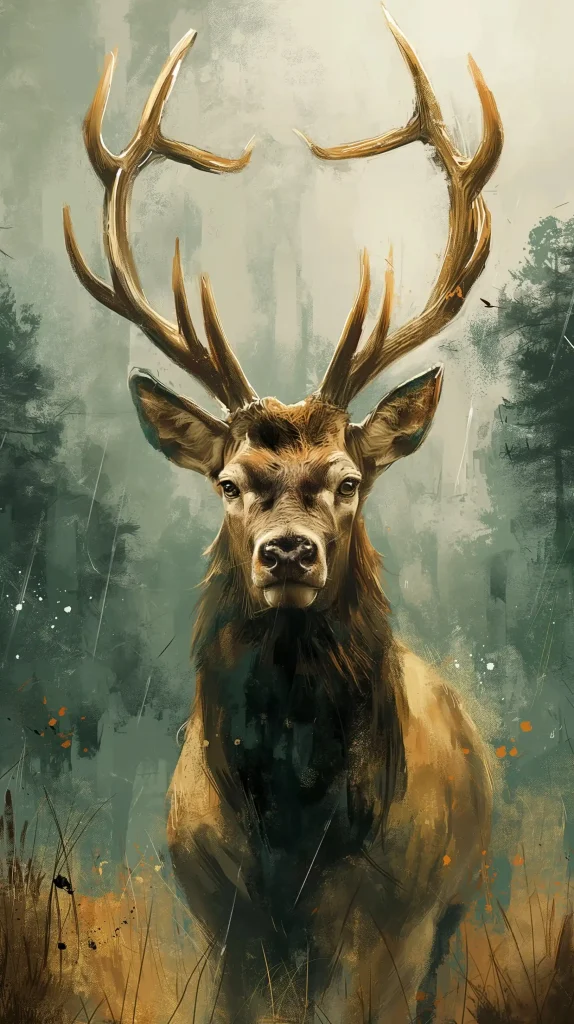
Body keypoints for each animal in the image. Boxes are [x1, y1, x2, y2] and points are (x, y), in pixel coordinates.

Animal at [64, 9, 502, 1023]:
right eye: (229, 482)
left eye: (346, 480)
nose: (289, 554)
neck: (294, 843)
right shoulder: (223, 920)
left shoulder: (400, 920)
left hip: (455, 907)